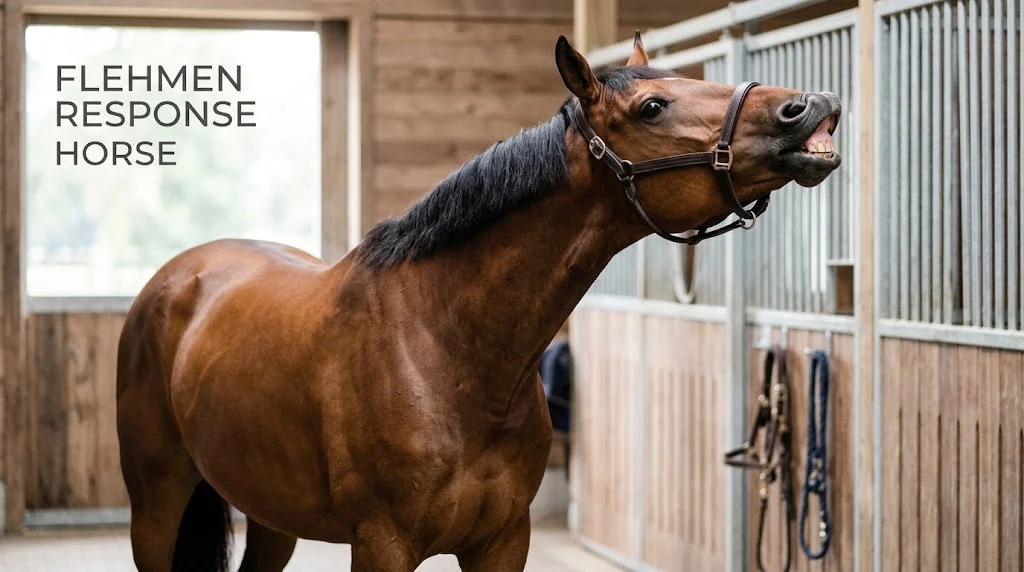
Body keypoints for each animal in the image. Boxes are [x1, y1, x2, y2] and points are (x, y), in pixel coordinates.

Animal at [116, 32, 841, 572]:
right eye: (654, 107)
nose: (810, 106)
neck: (445, 353)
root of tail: (178, 277)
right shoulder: (382, 545)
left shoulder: (502, 542)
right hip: (155, 505)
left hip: (271, 514)